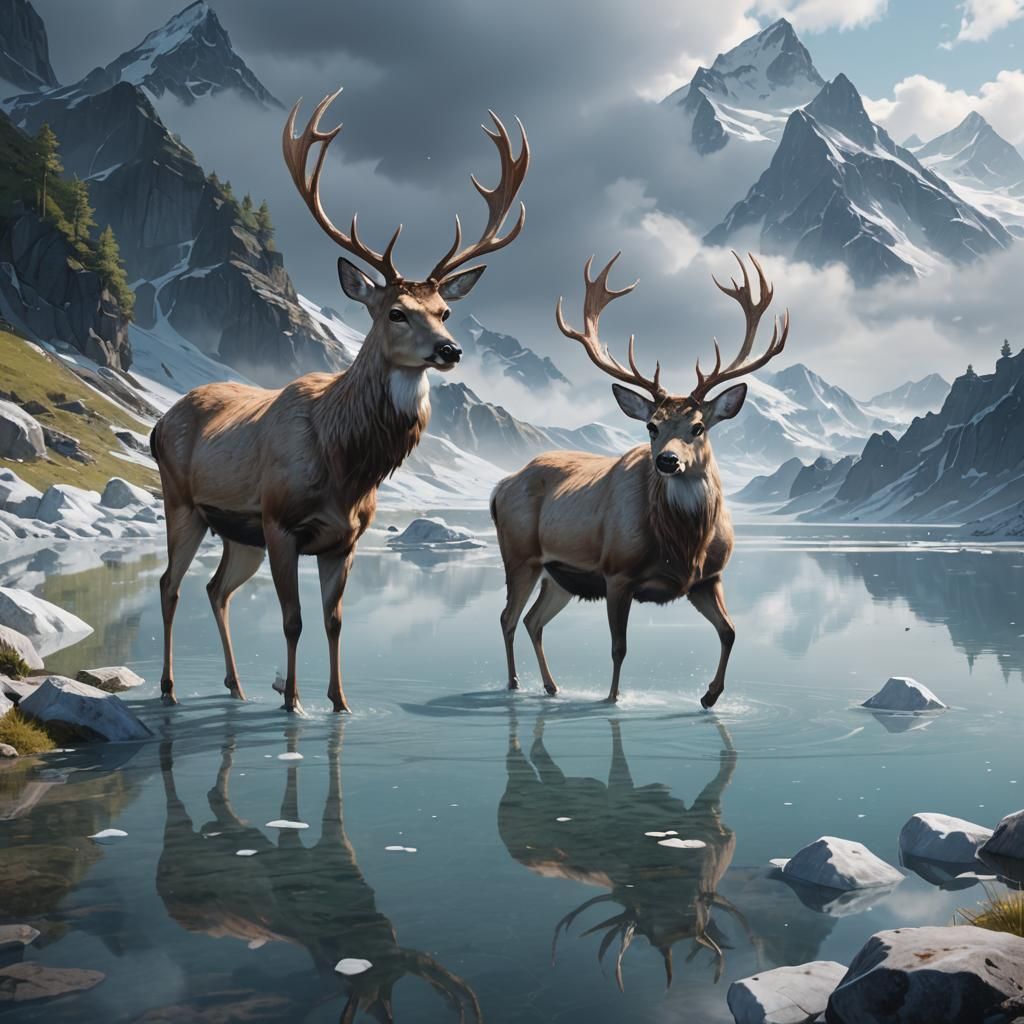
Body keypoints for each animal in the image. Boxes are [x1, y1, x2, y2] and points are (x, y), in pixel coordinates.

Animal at [151, 88, 529, 713]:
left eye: (445, 311)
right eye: (396, 312)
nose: (449, 350)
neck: (345, 463)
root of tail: (159, 423)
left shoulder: (344, 537)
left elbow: (334, 621)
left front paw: (341, 702)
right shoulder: (280, 520)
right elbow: (293, 620)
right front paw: (293, 703)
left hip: (237, 531)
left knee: (216, 588)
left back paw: (235, 686)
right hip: (183, 501)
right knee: (169, 584)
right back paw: (170, 688)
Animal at [491, 252, 788, 709]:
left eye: (699, 427)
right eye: (652, 426)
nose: (667, 460)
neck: (682, 545)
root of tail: (499, 488)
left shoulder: (707, 579)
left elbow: (730, 631)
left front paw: (709, 696)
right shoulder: (618, 572)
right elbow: (619, 647)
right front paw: (613, 700)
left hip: (560, 575)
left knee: (533, 620)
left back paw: (551, 686)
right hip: (520, 555)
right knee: (508, 617)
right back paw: (513, 684)